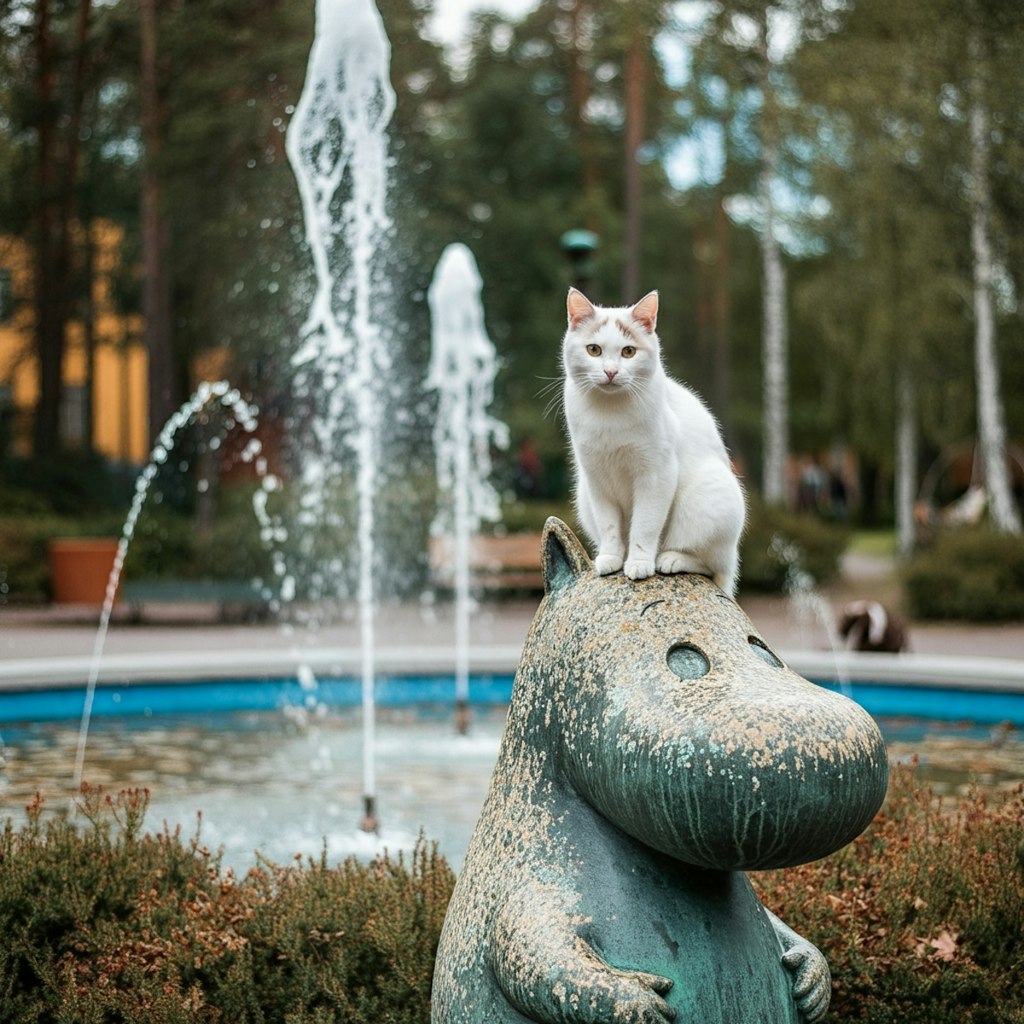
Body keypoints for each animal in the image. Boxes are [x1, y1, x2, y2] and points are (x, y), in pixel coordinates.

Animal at [561, 286, 745, 593]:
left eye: (628, 352)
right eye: (594, 350)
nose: (610, 372)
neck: (610, 412)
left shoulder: (656, 475)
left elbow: (645, 525)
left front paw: (638, 563)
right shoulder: (596, 478)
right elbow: (609, 525)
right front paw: (611, 558)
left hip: (708, 496)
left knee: (710, 566)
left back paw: (670, 559)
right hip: (583, 494)